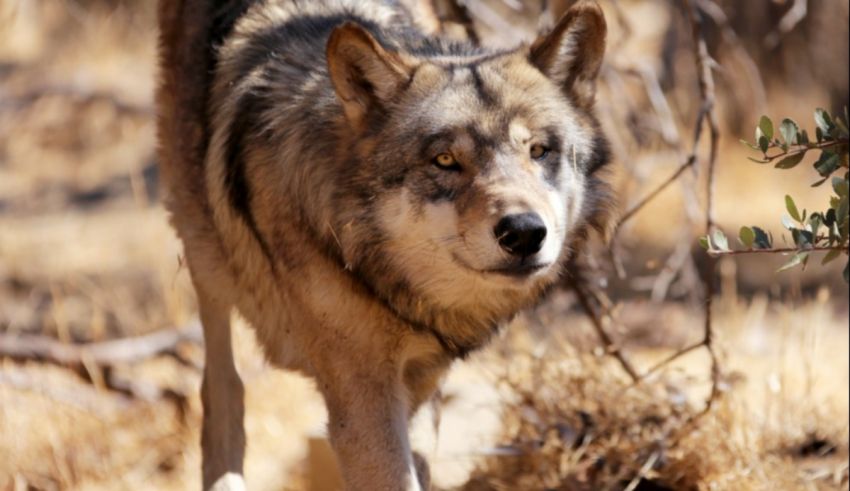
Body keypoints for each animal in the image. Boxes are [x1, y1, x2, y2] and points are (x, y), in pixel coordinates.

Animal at [156, 1, 608, 490]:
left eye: (539, 151)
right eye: (445, 160)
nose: (524, 232)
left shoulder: (422, 374)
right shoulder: (363, 396)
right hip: (208, 262)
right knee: (221, 388)